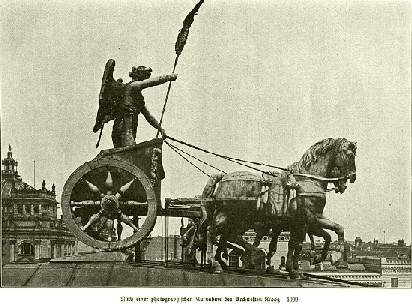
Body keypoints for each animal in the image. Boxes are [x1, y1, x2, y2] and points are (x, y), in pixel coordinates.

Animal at [201, 137, 356, 276]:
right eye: (350, 155)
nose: (352, 177)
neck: (309, 180)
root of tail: (223, 178)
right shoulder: (308, 219)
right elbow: (299, 243)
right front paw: (294, 268)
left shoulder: (311, 219)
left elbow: (335, 230)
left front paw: (313, 260)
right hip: (229, 214)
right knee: (212, 232)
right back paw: (217, 264)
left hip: (239, 218)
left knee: (228, 235)